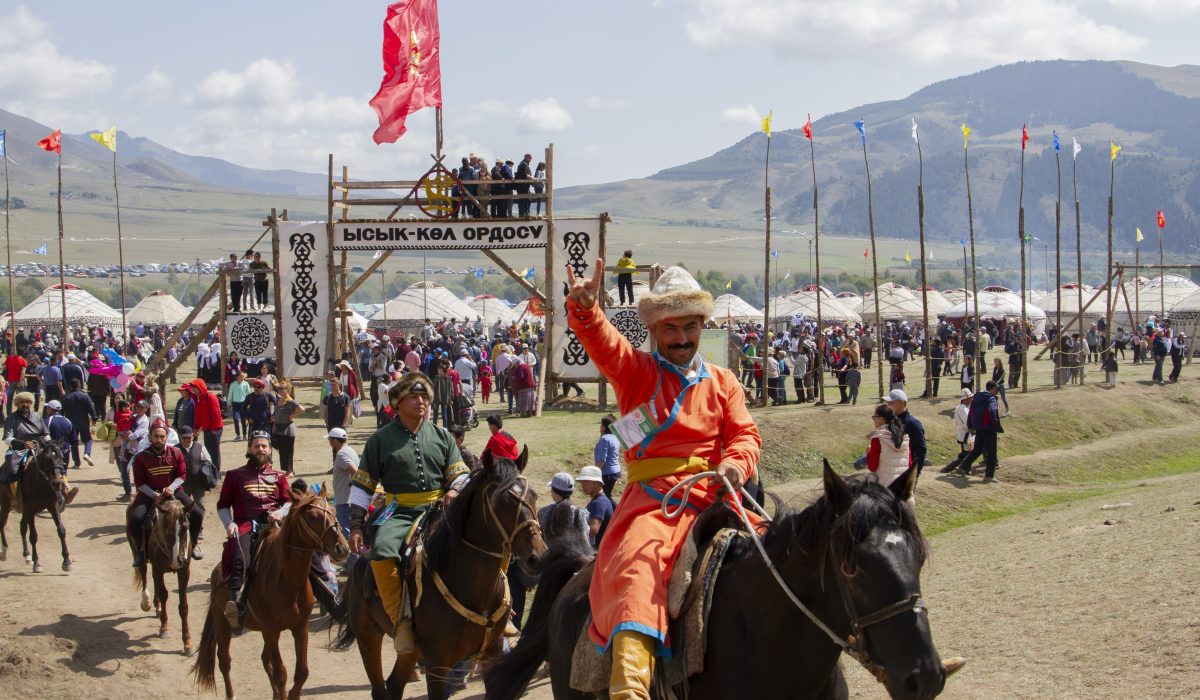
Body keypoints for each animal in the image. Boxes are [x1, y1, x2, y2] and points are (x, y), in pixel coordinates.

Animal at [0, 444, 71, 576]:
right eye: (46, 459)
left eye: (61, 456)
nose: (57, 483)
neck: (41, 483)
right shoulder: (31, 508)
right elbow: (33, 536)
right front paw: (37, 563)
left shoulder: (53, 506)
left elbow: (61, 530)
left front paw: (67, 562)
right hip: (6, 503)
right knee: (2, 524)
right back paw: (4, 550)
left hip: (24, 509)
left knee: (22, 527)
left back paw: (27, 556)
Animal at [134, 499, 193, 657]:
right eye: (167, 529)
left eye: (185, 527)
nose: (176, 560)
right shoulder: (159, 569)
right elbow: (164, 594)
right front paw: (164, 628)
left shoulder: (184, 571)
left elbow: (183, 606)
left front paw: (188, 643)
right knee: (144, 572)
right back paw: (147, 602)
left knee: (154, 580)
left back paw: (157, 606)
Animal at [192, 487, 350, 700]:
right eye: (313, 516)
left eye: (333, 510)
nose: (343, 548)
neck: (286, 581)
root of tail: (217, 572)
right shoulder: (271, 630)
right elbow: (281, 674)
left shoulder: (299, 627)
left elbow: (301, 673)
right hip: (223, 623)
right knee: (224, 660)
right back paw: (231, 694)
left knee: (264, 658)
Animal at [333, 449, 549, 700]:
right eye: (500, 501)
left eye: (533, 496)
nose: (538, 557)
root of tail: (359, 564)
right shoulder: (437, 663)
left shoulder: (492, 651)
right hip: (368, 636)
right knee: (379, 687)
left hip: (411, 650)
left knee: (395, 684)